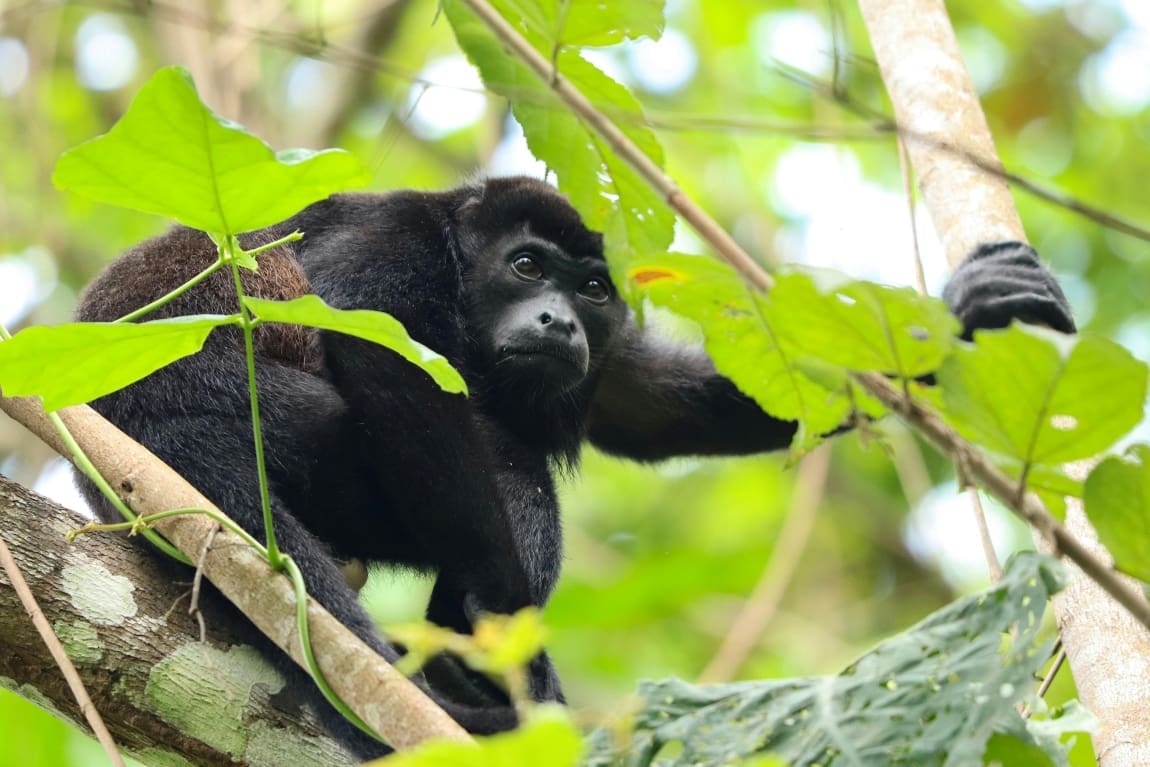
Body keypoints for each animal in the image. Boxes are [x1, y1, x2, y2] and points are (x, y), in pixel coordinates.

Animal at [76, 177, 1071, 758]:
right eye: (527, 267)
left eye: (591, 288)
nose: (558, 320)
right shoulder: (391, 240)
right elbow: (387, 362)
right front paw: (512, 642)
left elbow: (649, 405)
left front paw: (963, 318)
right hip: (256, 418)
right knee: (508, 466)